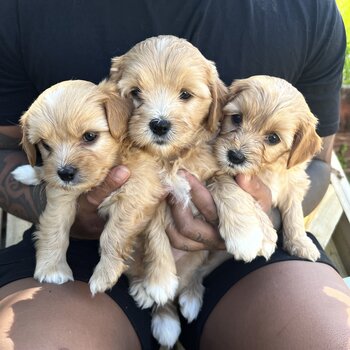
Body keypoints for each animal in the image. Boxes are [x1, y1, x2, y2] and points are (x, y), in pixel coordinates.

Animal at [10, 80, 164, 296]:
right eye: (45, 145)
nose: (65, 173)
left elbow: (113, 235)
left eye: (89, 136)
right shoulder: (61, 194)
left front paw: (104, 274)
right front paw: (52, 268)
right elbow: (54, 226)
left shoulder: (138, 192)